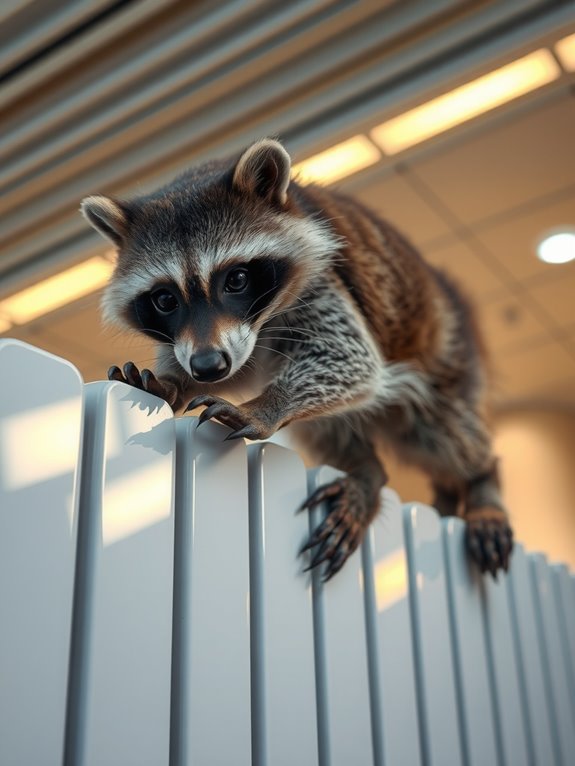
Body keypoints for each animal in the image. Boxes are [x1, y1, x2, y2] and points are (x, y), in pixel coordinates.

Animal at [81, 137, 513, 580]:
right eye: (165, 299)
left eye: (236, 279)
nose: (208, 366)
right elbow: (220, 362)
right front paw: (173, 381)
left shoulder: (326, 280)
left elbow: (351, 358)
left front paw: (266, 403)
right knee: (328, 428)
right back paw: (367, 471)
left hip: (450, 361)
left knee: (445, 432)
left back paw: (481, 482)